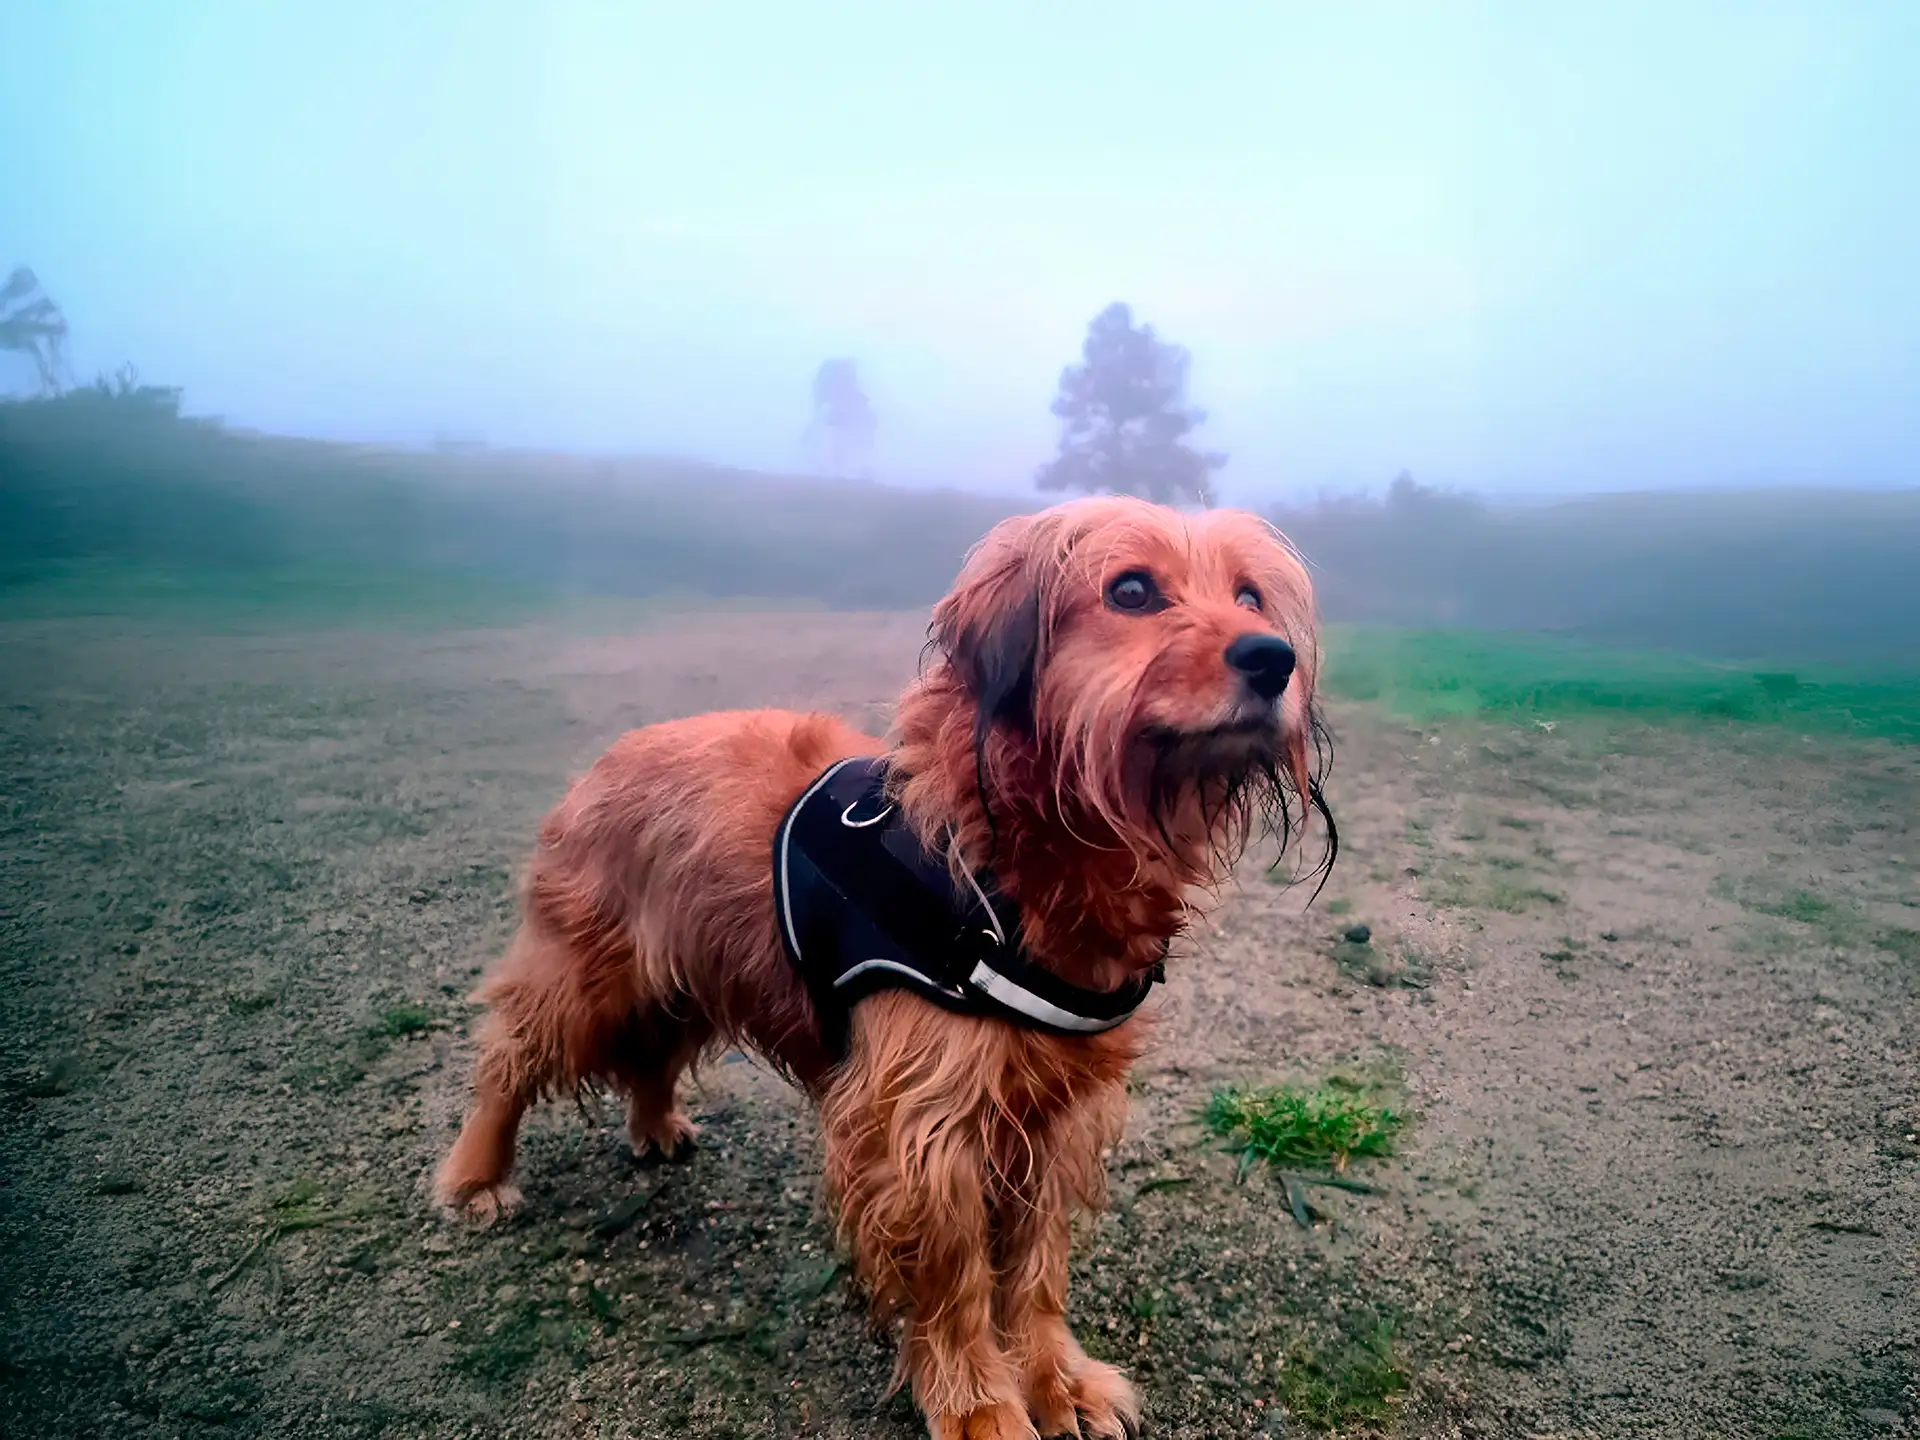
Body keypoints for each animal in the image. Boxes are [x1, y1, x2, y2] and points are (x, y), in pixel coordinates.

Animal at [439, 499, 1328, 1440]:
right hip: (584, 982)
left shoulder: (1059, 1118)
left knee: (652, 1057)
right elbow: (956, 1280)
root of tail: (611, 756)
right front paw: (978, 1401)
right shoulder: (920, 1129)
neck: (1013, 856)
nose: (1274, 657)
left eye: (1250, 595)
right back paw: (476, 1176)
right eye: (1131, 590)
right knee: (506, 1060)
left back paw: (654, 1125)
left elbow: (1037, 1267)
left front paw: (1055, 1377)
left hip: (691, 976)